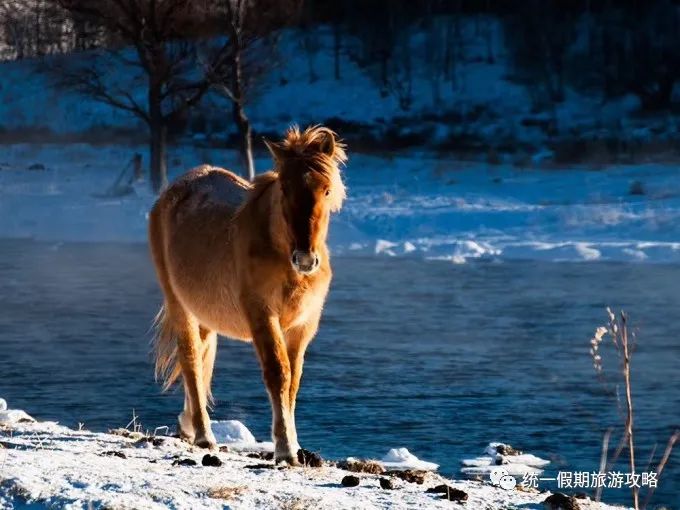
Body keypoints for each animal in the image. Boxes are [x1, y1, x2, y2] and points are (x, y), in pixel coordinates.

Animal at [147, 125, 346, 464]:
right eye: (285, 190)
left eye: (327, 190)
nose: (305, 259)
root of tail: (171, 192)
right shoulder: (262, 315)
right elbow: (278, 373)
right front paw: (284, 449)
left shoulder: (302, 326)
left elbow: (293, 381)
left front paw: (293, 444)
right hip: (178, 304)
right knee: (191, 359)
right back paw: (204, 435)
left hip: (204, 313)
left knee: (201, 357)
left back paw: (188, 426)